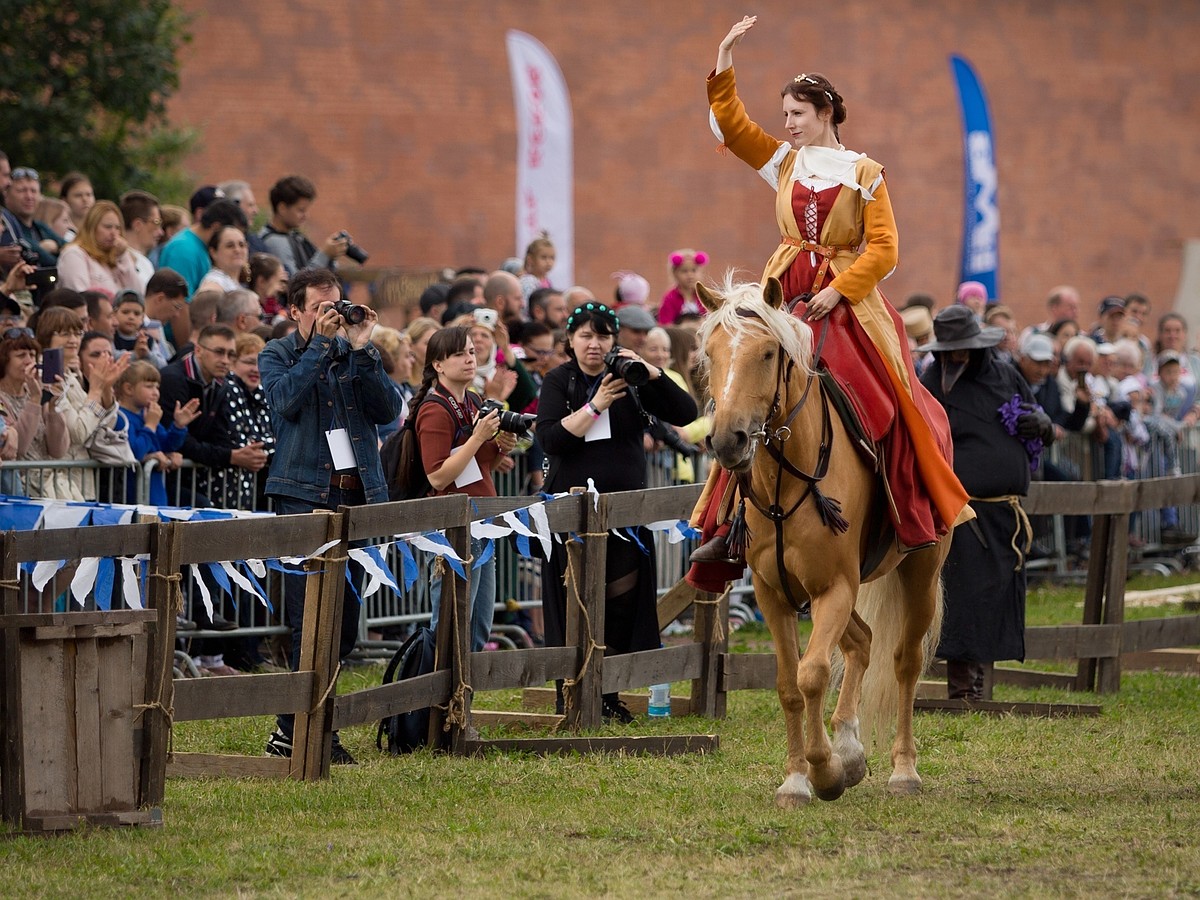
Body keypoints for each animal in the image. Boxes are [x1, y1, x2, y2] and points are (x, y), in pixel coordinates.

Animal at [696, 278, 945, 806]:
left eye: (768, 353)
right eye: (710, 353)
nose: (728, 441)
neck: (785, 482)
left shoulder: (834, 587)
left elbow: (812, 674)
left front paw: (824, 772)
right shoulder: (775, 593)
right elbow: (790, 684)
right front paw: (799, 778)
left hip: (920, 572)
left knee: (905, 661)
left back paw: (903, 771)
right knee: (863, 642)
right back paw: (850, 748)